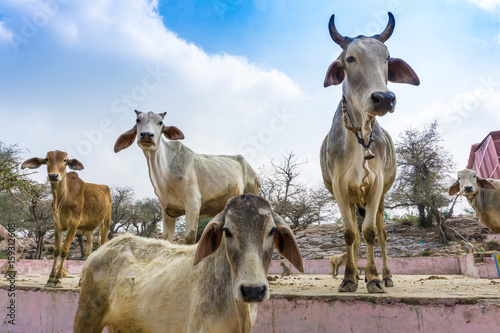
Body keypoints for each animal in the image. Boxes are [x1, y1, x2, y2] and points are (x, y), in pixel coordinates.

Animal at [21, 150, 111, 286]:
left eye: (65, 160)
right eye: (47, 159)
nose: (53, 176)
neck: (62, 198)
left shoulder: (73, 225)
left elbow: (65, 250)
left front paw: (58, 279)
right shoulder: (57, 224)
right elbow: (57, 250)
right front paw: (50, 279)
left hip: (105, 223)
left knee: (102, 245)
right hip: (89, 229)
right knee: (89, 251)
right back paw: (82, 280)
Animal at [114, 110, 260, 243]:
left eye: (160, 122)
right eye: (138, 120)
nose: (146, 135)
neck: (165, 175)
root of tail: (254, 172)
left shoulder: (193, 203)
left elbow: (189, 238)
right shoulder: (166, 209)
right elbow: (166, 239)